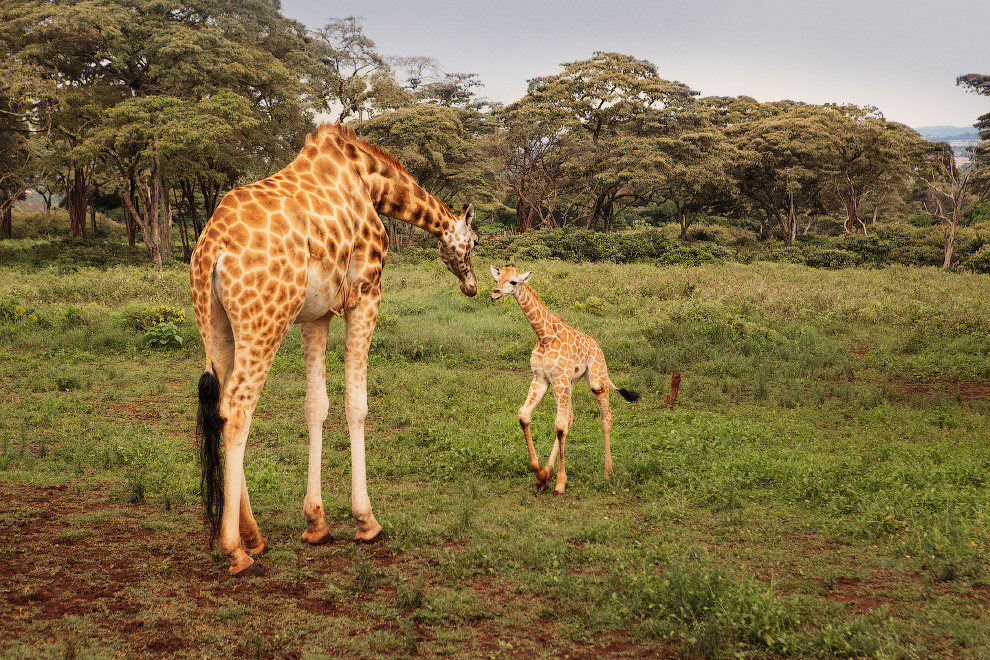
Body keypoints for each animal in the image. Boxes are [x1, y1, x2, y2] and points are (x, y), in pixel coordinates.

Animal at [193, 121, 480, 576]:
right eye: (474, 242)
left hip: (216, 327)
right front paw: (367, 521)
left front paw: (316, 523)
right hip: (264, 321)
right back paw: (236, 551)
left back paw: (254, 536)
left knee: (220, 406)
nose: (472, 286)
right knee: (237, 408)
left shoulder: (317, 314)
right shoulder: (365, 293)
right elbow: (356, 404)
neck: (370, 181)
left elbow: (316, 406)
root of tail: (210, 252)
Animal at [490, 266, 644, 492]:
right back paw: (550, 471)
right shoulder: (541, 379)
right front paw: (541, 475)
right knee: (571, 417)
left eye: (513, 282)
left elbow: (560, 425)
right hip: (571, 382)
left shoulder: (559, 379)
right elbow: (525, 415)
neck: (544, 336)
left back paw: (608, 472)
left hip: (596, 379)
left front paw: (560, 483)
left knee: (605, 417)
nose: (496, 293)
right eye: (497, 279)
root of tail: (598, 346)